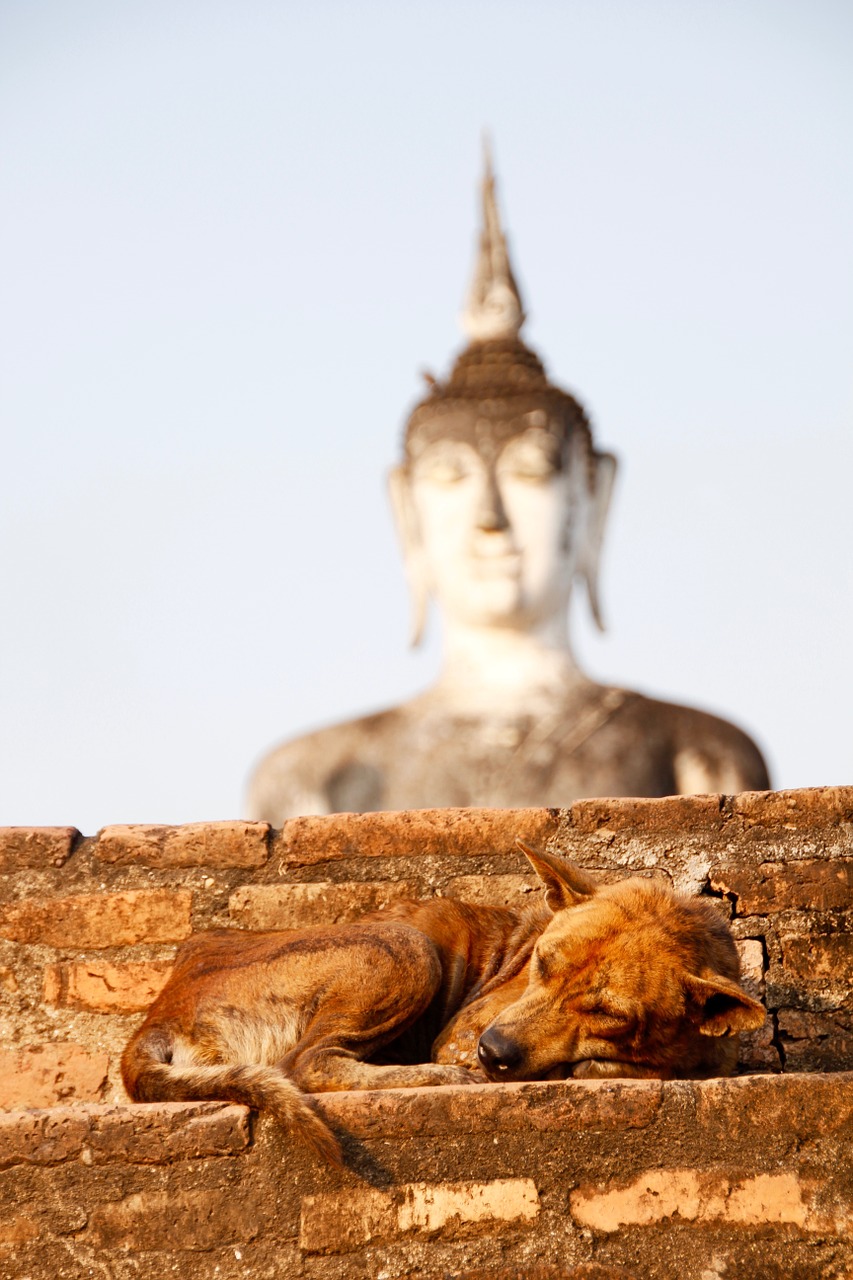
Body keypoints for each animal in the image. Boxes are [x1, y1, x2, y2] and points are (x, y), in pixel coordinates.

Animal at [121, 844, 763, 1167]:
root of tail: (161, 1009)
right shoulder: (463, 1031)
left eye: (608, 1013)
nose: (492, 1052)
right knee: (309, 1064)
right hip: (407, 950)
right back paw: (435, 1077)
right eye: (542, 962)